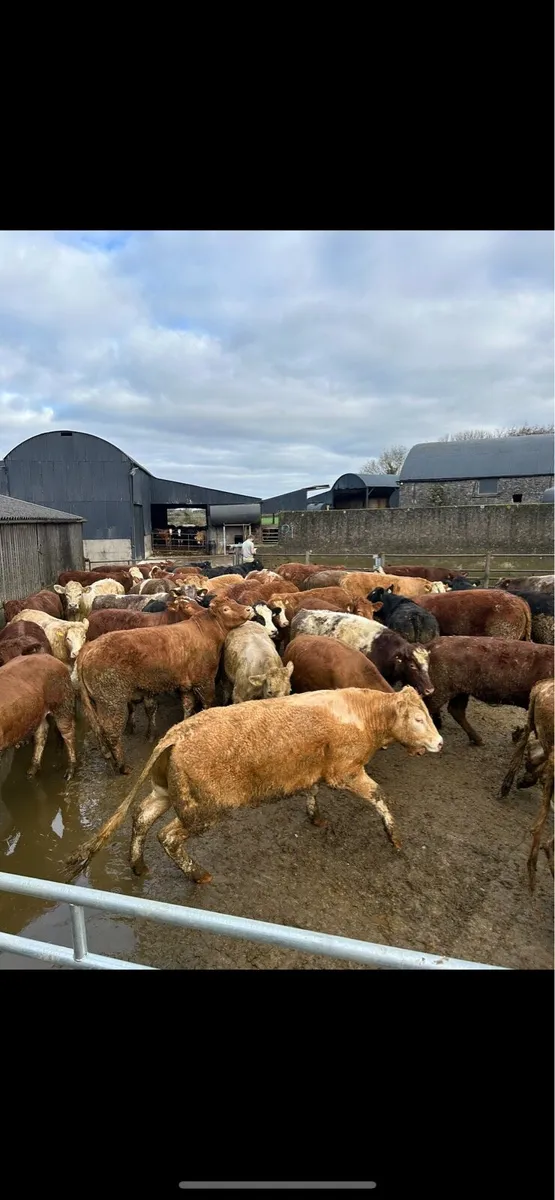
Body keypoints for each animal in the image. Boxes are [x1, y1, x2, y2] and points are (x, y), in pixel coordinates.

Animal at [65, 684, 443, 884]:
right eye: (418, 718)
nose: (439, 743)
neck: (362, 715)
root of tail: (175, 736)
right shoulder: (346, 772)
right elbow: (379, 796)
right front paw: (394, 838)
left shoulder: (313, 769)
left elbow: (312, 790)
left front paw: (316, 816)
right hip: (203, 811)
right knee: (168, 836)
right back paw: (198, 874)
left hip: (168, 793)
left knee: (141, 818)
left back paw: (139, 865)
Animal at [75, 596, 254, 773]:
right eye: (225, 609)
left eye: (234, 601)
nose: (249, 609)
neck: (205, 632)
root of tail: (89, 647)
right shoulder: (205, 682)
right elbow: (207, 705)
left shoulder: (186, 685)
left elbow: (188, 706)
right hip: (112, 701)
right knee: (111, 731)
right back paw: (122, 766)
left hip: (97, 702)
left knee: (98, 728)